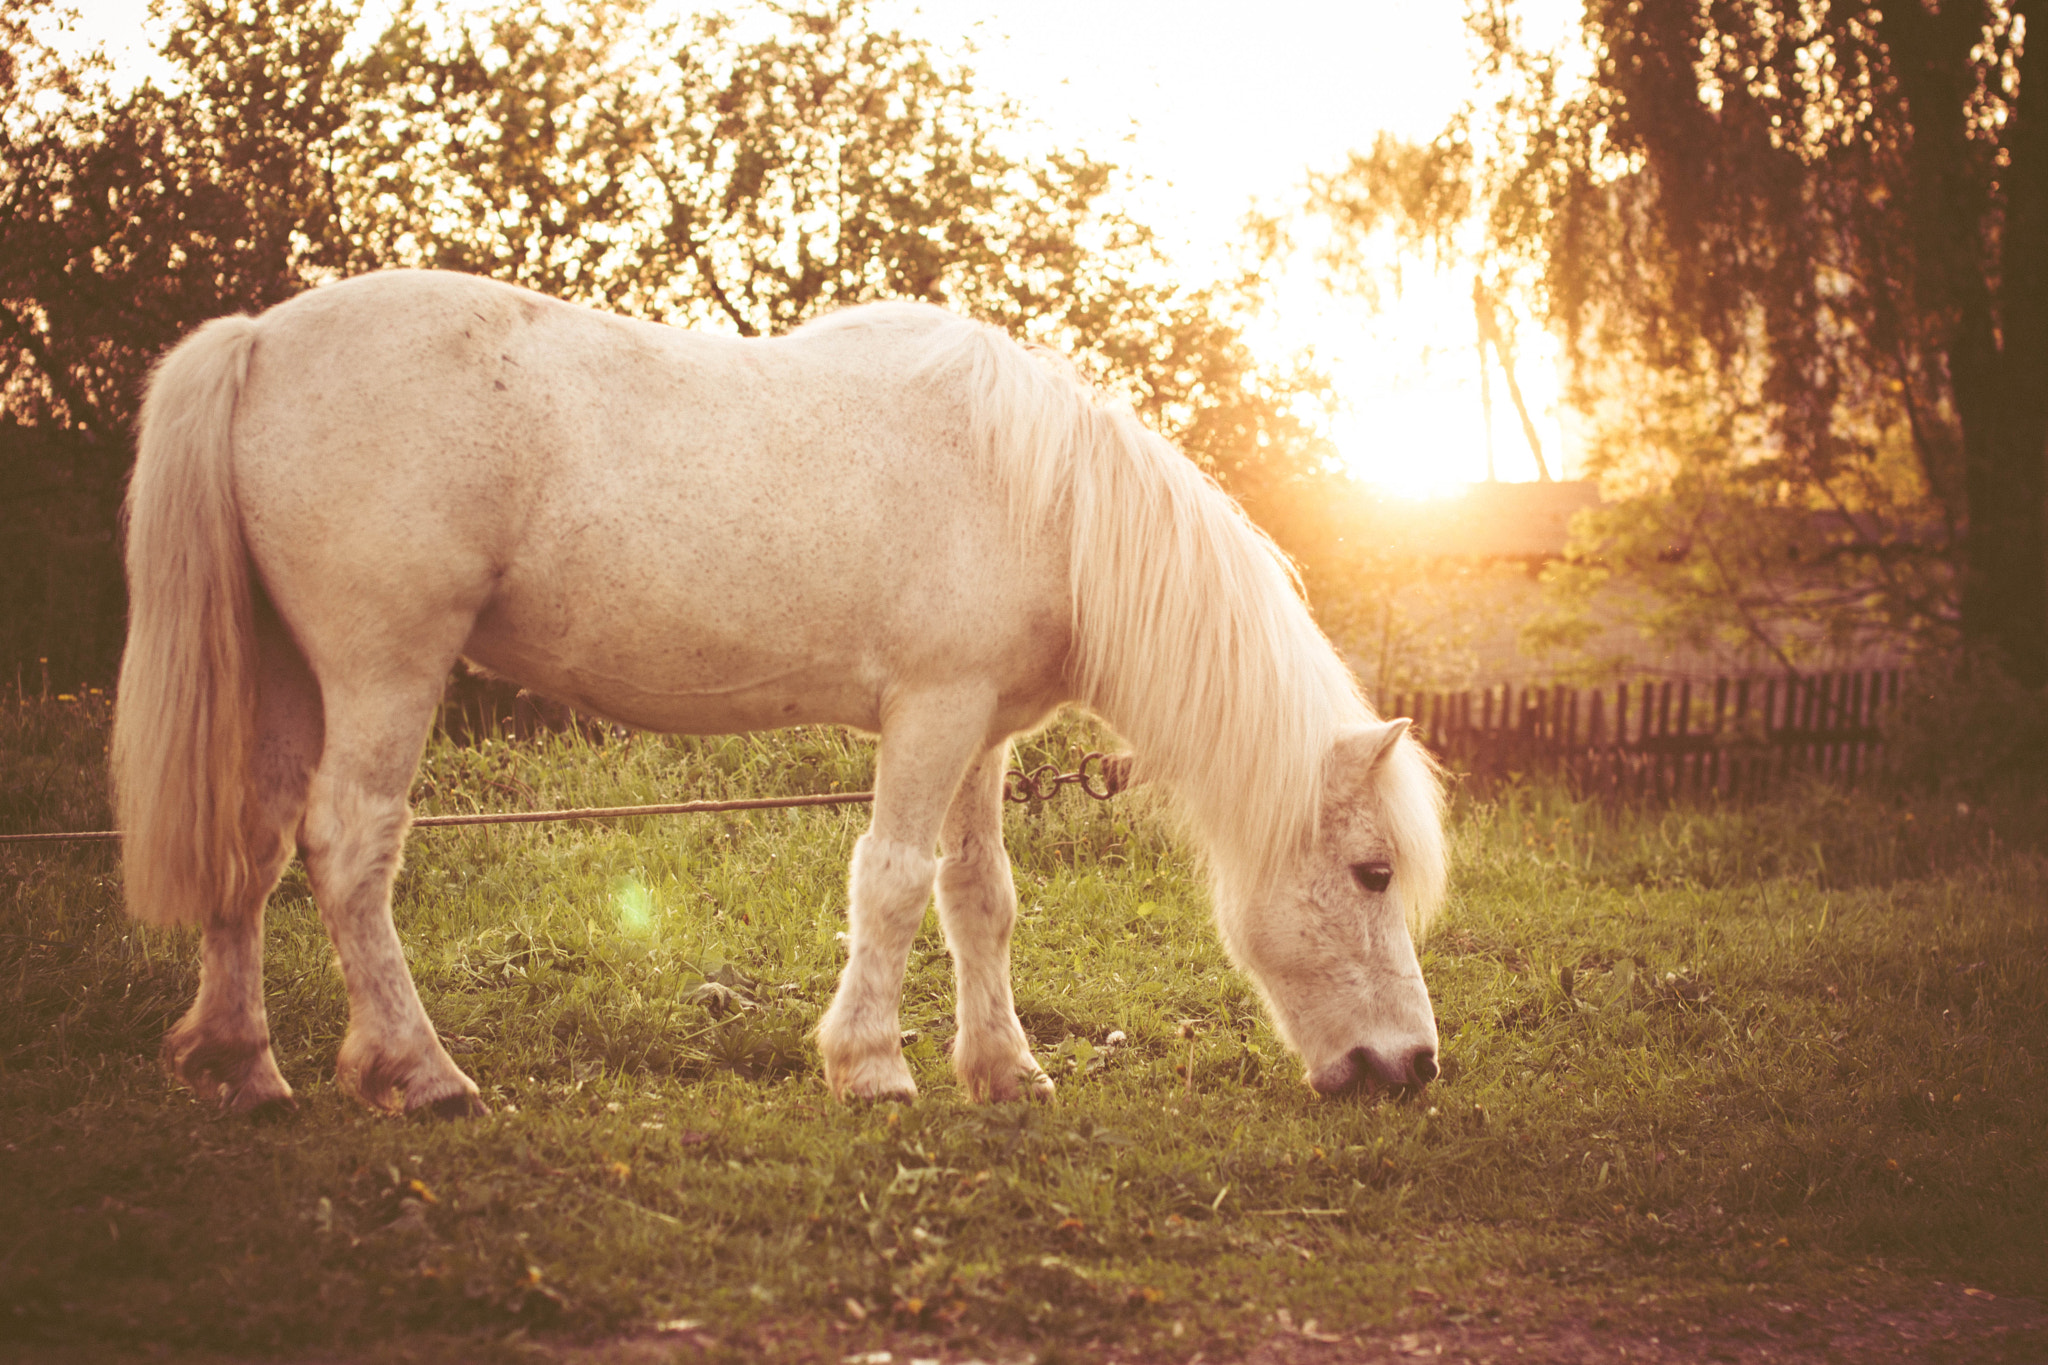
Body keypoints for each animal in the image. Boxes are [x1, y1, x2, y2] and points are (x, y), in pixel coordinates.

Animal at [111, 270, 1447, 1117]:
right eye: (1371, 873)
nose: (1413, 1065)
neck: (1042, 499)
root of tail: (257, 340)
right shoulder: (930, 714)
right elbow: (894, 881)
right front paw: (872, 1070)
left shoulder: (981, 735)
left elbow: (980, 901)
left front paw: (1002, 1072)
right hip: (382, 668)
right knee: (349, 848)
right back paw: (418, 1073)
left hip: (290, 676)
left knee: (254, 842)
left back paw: (241, 1067)